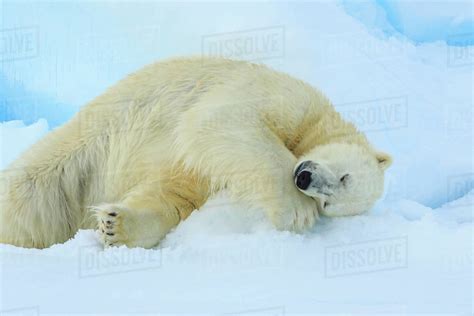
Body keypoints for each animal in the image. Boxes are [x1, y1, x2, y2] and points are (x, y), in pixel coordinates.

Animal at [0, 58, 390, 248]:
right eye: (345, 176)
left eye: (330, 203)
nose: (304, 178)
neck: (316, 125)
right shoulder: (290, 98)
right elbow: (223, 119)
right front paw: (296, 211)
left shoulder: (203, 176)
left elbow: (173, 195)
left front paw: (115, 225)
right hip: (82, 149)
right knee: (25, 193)